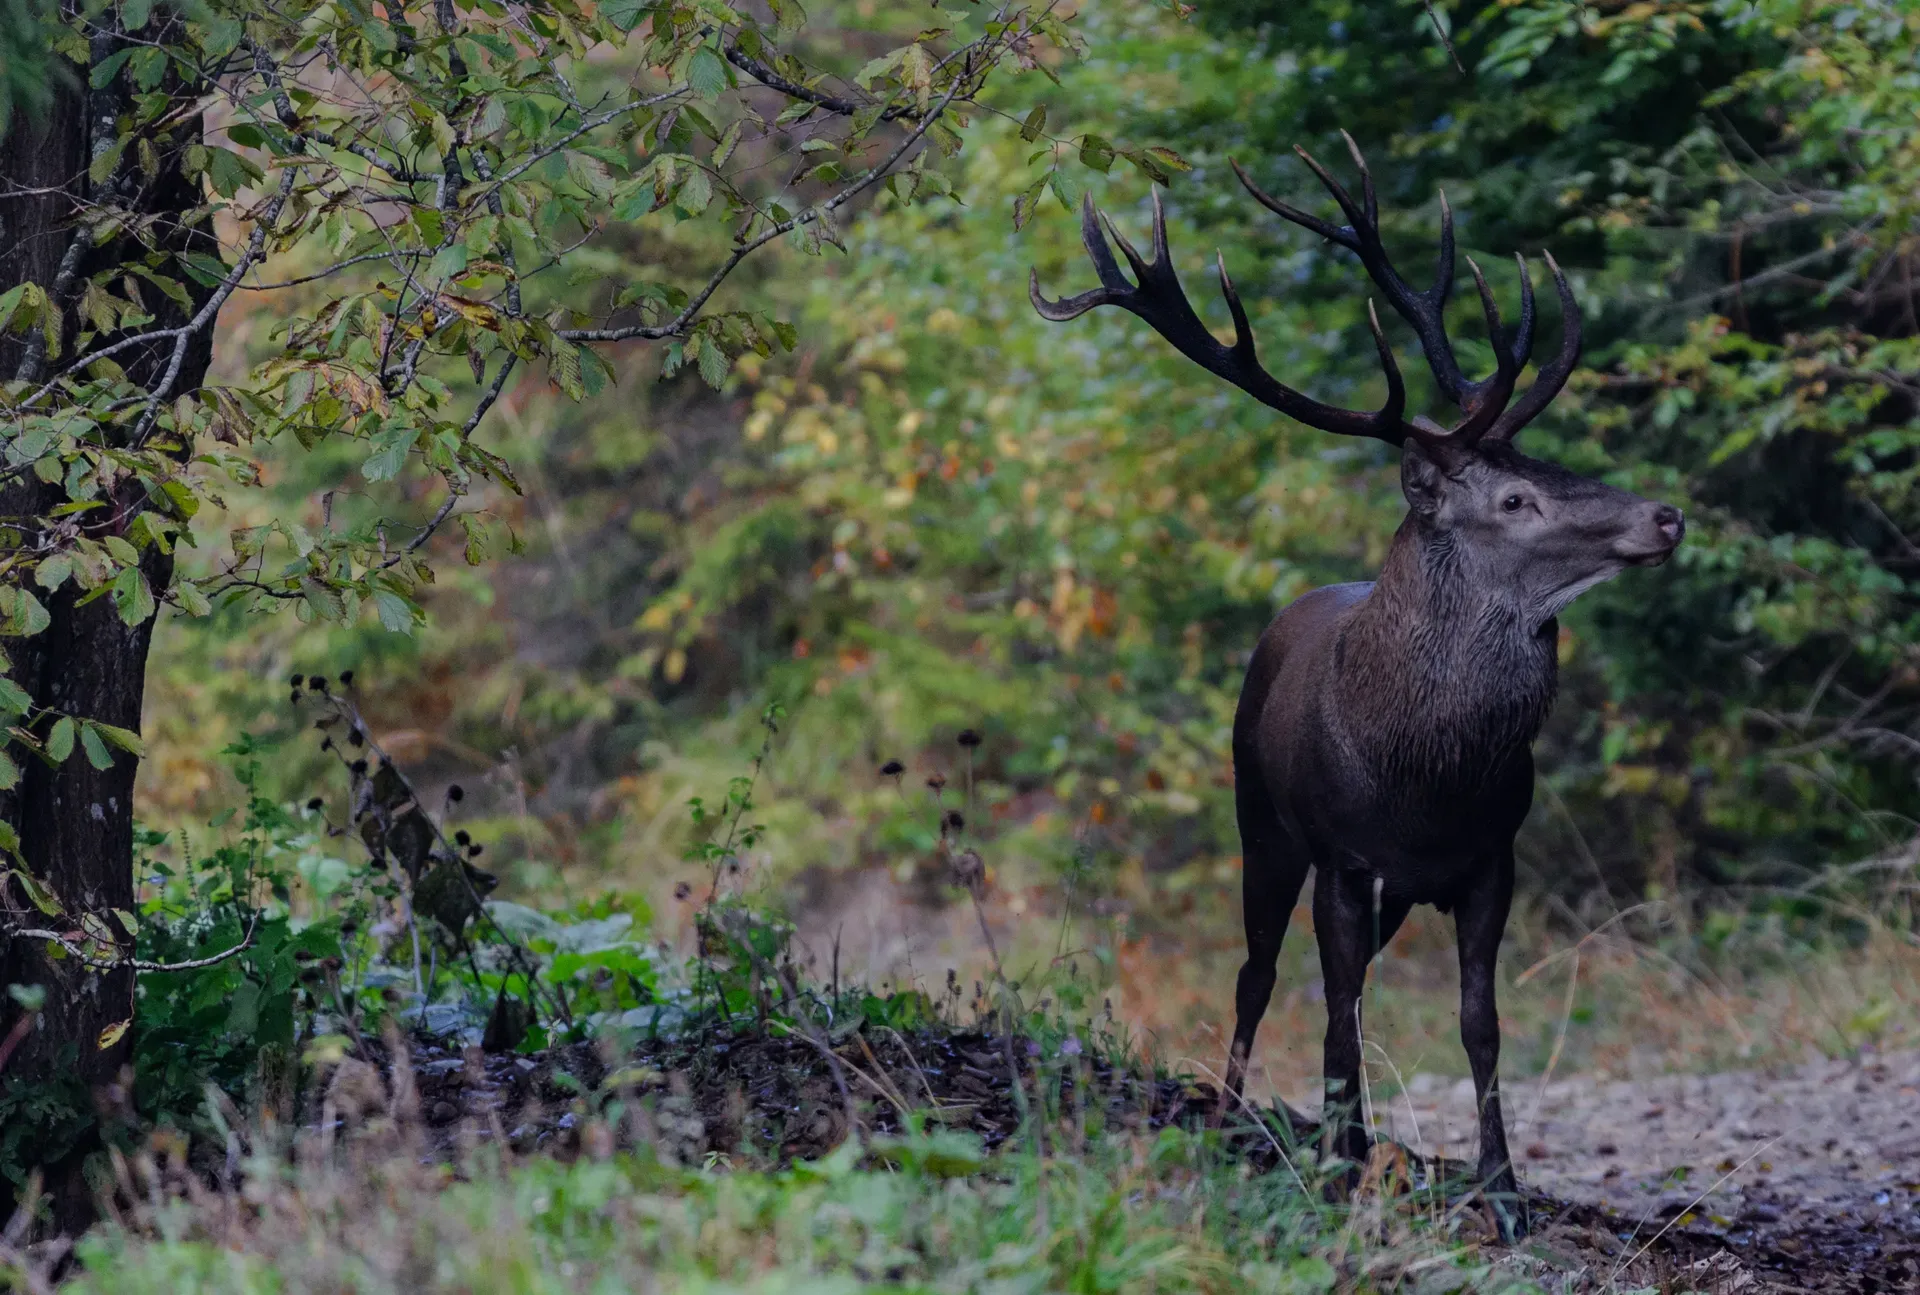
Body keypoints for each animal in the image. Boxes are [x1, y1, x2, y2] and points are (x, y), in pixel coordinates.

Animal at [1030, 135, 1684, 1239]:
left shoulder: (1490, 859)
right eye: (1517, 497)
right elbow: (1334, 1012)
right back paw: (1236, 1113)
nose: (1666, 514)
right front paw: (1339, 1167)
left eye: (1552, 461)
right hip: (1259, 820)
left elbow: (1478, 1020)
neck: (1425, 781)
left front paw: (1500, 1187)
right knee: (1258, 972)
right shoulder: (1344, 856)